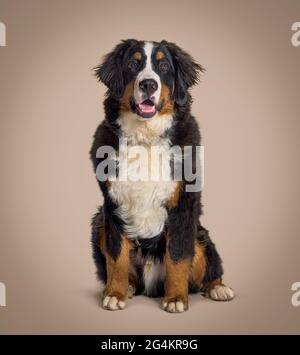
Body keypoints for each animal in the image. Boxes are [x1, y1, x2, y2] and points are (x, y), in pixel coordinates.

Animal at [90, 39, 236, 314]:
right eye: (132, 64)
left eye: (164, 66)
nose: (148, 84)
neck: (145, 139)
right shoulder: (112, 207)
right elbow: (116, 257)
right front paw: (114, 293)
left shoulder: (183, 207)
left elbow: (177, 257)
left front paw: (176, 298)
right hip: (98, 223)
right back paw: (126, 287)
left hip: (200, 236)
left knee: (208, 270)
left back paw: (218, 288)